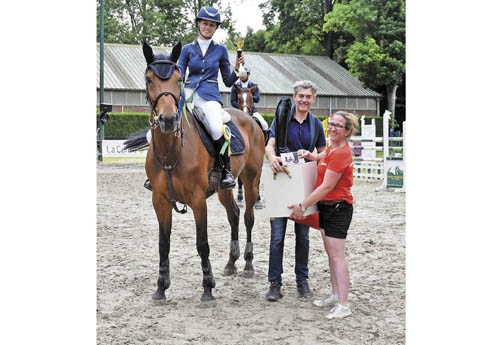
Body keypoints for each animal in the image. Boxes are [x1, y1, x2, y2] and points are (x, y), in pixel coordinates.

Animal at [129, 41, 266, 304]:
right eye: (149, 79)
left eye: (178, 79)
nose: (168, 120)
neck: (171, 151)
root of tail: (248, 118)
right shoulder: (159, 200)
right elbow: (163, 243)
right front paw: (161, 287)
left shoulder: (197, 200)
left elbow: (202, 243)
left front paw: (207, 287)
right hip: (224, 188)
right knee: (234, 214)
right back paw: (231, 263)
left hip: (251, 179)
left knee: (248, 217)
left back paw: (248, 265)